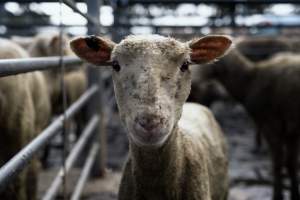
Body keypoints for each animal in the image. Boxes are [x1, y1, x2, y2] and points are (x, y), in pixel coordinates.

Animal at [202, 46, 300, 200]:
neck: (251, 80)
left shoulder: (271, 123)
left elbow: (278, 163)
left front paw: (277, 196)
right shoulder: (291, 131)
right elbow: (291, 164)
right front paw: (294, 194)